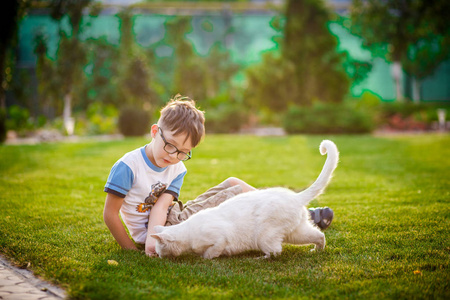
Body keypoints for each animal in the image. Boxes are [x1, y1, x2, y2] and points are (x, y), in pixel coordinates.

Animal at [151, 139, 338, 258]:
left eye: (159, 249)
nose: (157, 256)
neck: (188, 234)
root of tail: (295, 197)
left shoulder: (220, 238)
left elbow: (211, 253)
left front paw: (206, 257)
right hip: (296, 233)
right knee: (319, 235)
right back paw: (317, 250)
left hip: (265, 236)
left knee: (275, 252)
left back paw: (259, 258)